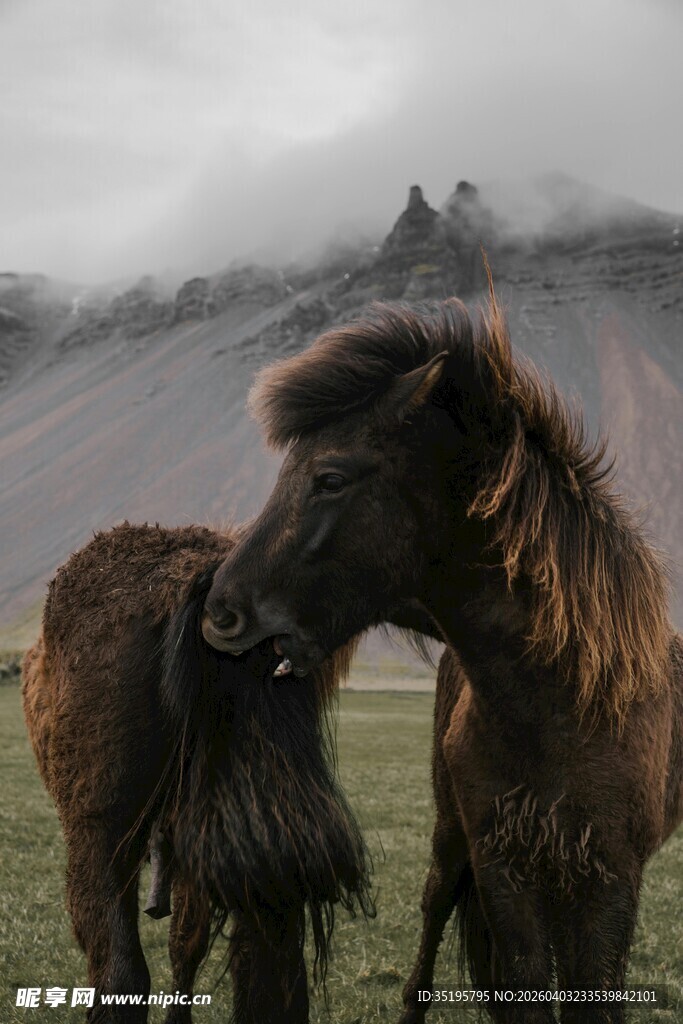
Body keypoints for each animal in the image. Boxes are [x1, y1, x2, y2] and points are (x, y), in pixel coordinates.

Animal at [199, 291, 683, 1023]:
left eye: (329, 478)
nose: (220, 613)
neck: (563, 704)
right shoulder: (502, 870)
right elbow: (526, 988)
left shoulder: (609, 881)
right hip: (449, 840)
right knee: (428, 934)